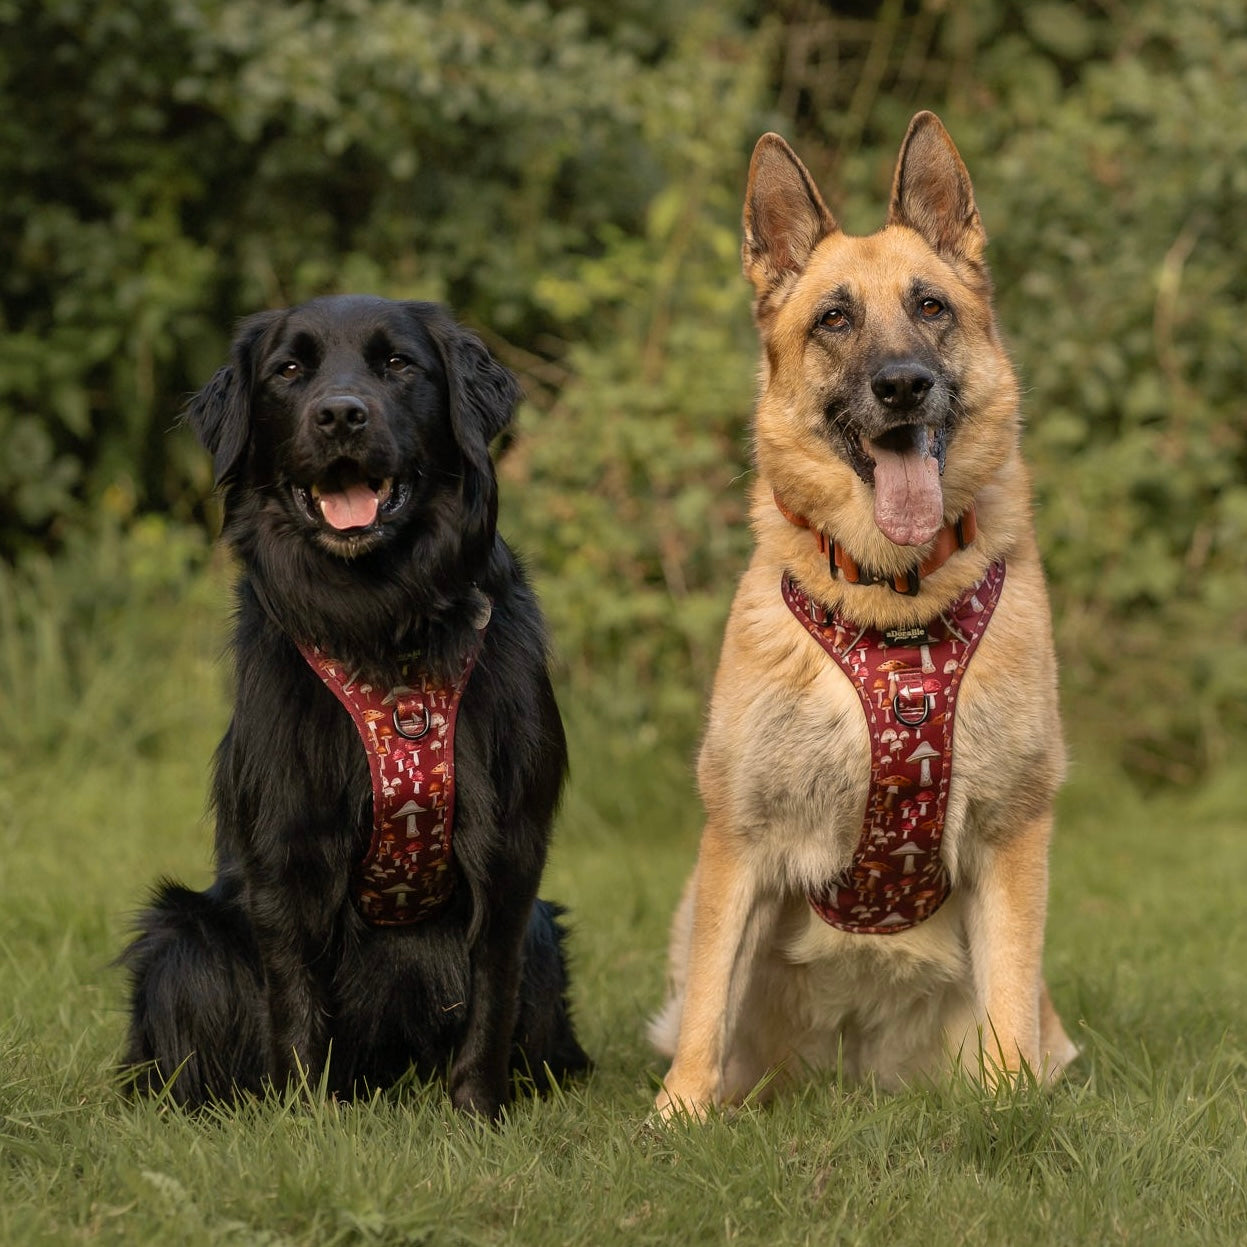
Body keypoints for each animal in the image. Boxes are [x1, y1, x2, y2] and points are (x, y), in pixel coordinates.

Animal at [124, 296, 591, 1117]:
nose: (340, 415)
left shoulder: (510, 852)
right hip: (182, 934)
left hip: (544, 936)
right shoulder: (287, 841)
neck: (382, 625)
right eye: (288, 370)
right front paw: (306, 1118)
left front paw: (476, 1114)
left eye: (399, 364)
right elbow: (294, 998)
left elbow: (490, 994)